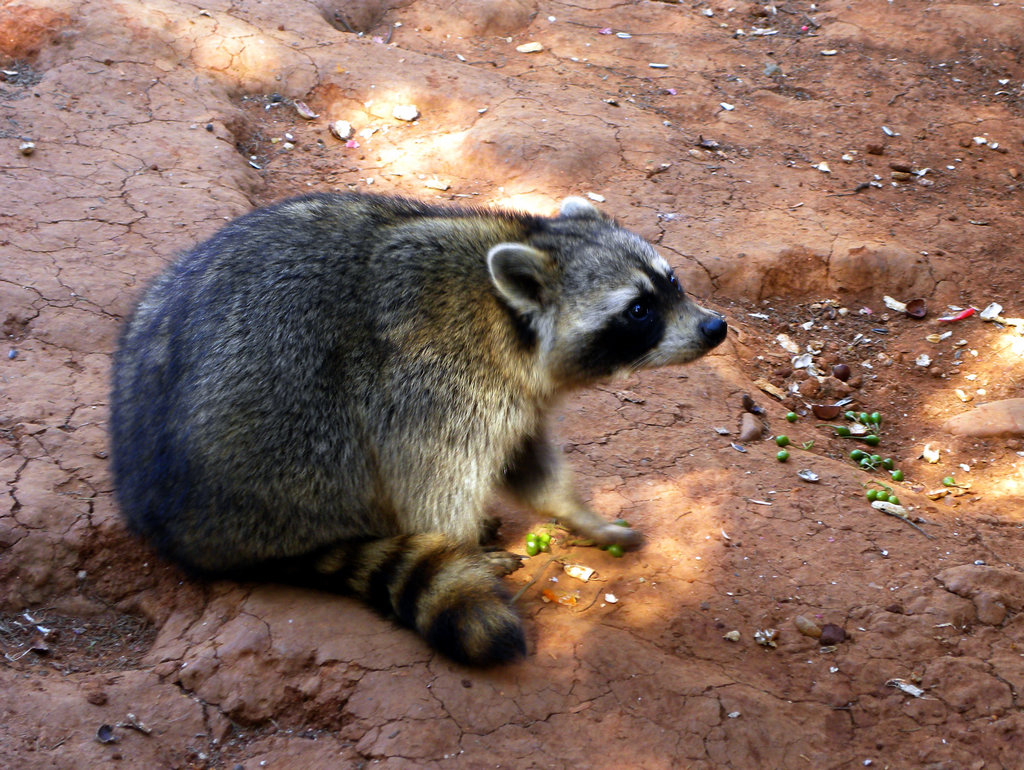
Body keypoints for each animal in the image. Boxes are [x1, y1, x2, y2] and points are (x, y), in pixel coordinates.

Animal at [110, 191, 729, 663]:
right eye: (638, 310)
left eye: (672, 282)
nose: (715, 327)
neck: (509, 316)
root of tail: (167, 527)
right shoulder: (433, 383)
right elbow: (433, 480)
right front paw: (461, 545)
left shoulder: (516, 398)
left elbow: (528, 465)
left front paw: (579, 514)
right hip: (278, 456)